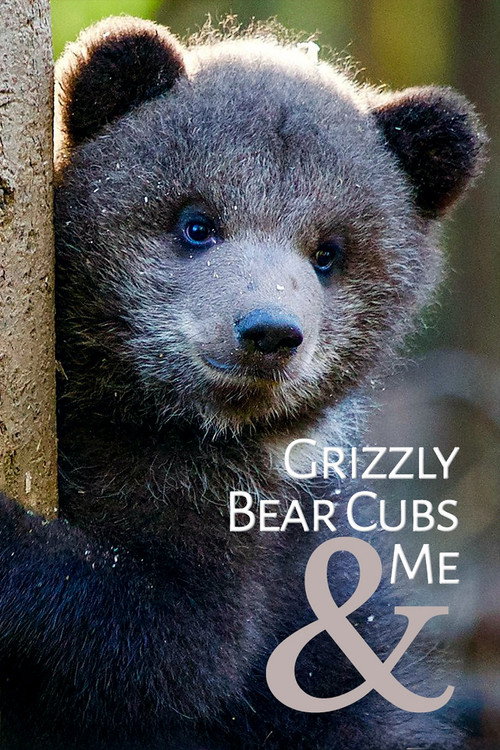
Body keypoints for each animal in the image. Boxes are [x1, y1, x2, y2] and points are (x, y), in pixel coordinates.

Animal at [0, 15, 486, 750]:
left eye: (327, 253)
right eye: (196, 222)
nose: (270, 333)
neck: (149, 420)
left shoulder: (255, 537)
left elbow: (171, 649)